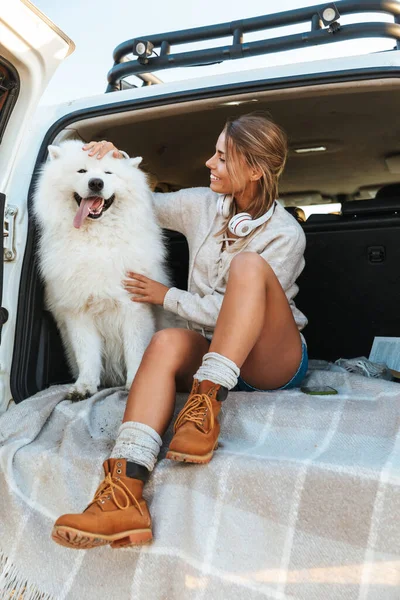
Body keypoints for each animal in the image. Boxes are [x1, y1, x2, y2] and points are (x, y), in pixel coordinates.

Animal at [33, 141, 170, 400]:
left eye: (108, 173)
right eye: (81, 171)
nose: (96, 183)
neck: (96, 240)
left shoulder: (133, 309)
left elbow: (136, 351)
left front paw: (135, 383)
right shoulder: (79, 312)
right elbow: (87, 356)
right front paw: (84, 386)